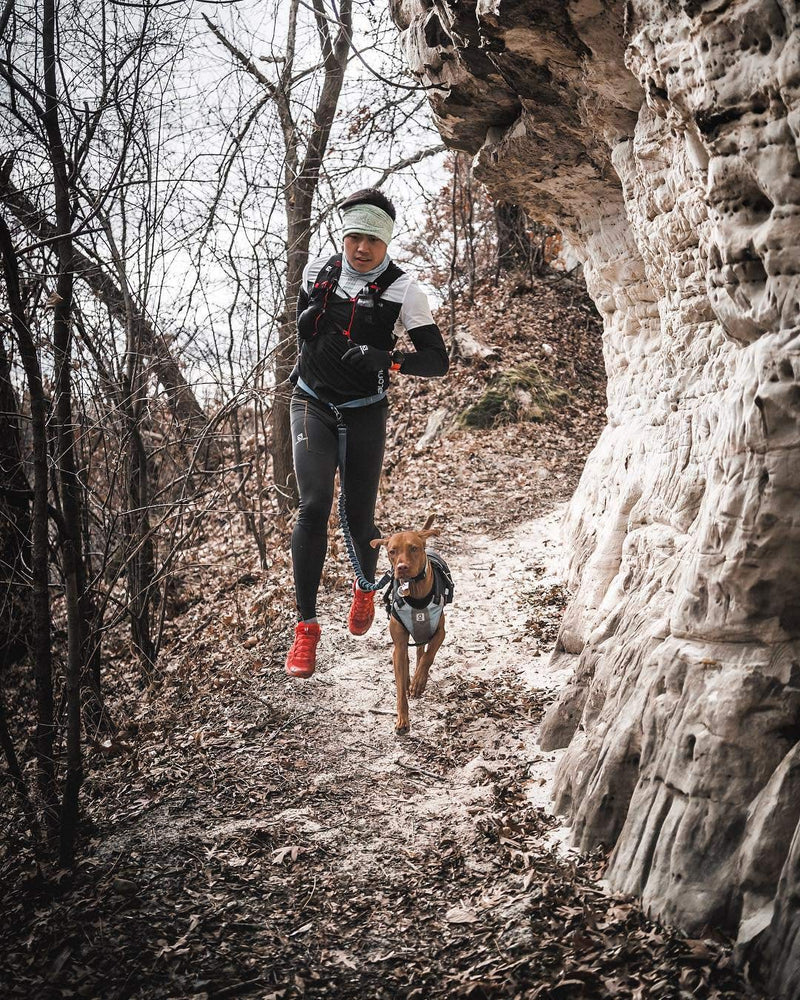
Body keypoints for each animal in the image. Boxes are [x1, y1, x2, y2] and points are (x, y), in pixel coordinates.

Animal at [370, 516, 446, 736]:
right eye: (392, 551)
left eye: (413, 548)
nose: (401, 567)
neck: (416, 592)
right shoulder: (399, 644)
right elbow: (399, 689)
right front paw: (402, 720)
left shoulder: (440, 632)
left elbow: (429, 656)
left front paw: (420, 682)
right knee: (406, 659)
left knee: (421, 652)